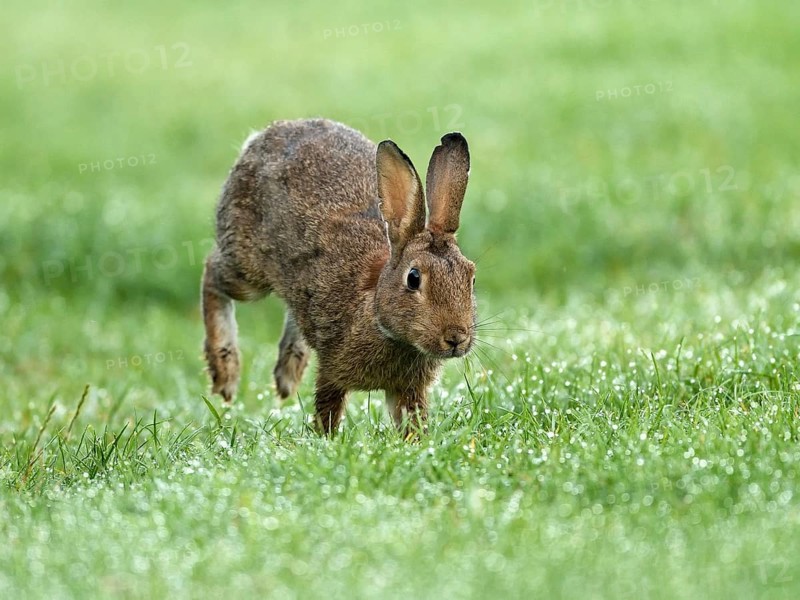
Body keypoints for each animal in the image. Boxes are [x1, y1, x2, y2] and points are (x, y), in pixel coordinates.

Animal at [201, 118, 476, 435]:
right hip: (248, 270)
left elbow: (412, 422)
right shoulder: (332, 371)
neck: (377, 313)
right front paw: (326, 438)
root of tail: (263, 136)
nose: (456, 338)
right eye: (414, 278)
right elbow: (327, 407)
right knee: (211, 274)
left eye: (471, 278)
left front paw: (415, 442)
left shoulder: (409, 389)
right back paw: (226, 372)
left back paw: (288, 374)